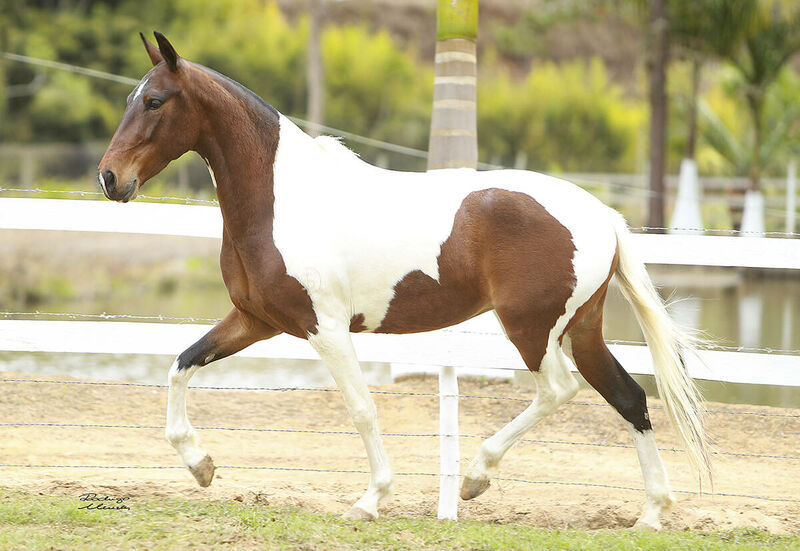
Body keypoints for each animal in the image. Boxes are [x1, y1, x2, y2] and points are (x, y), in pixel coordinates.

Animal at [100, 33, 712, 532]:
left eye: (154, 101)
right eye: (132, 99)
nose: (110, 179)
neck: (281, 200)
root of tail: (602, 215)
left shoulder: (324, 328)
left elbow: (362, 408)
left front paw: (370, 501)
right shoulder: (256, 321)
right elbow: (181, 364)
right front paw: (201, 466)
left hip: (532, 329)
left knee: (560, 390)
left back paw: (475, 478)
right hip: (581, 328)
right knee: (629, 396)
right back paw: (651, 514)